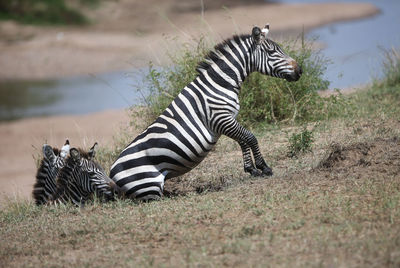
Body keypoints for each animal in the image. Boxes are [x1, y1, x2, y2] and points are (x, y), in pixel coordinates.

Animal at [108, 25, 302, 201]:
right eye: (271, 52)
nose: (300, 71)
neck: (219, 83)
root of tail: (111, 176)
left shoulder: (227, 120)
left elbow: (242, 141)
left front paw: (251, 169)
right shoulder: (221, 118)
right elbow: (250, 137)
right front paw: (264, 167)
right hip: (149, 187)